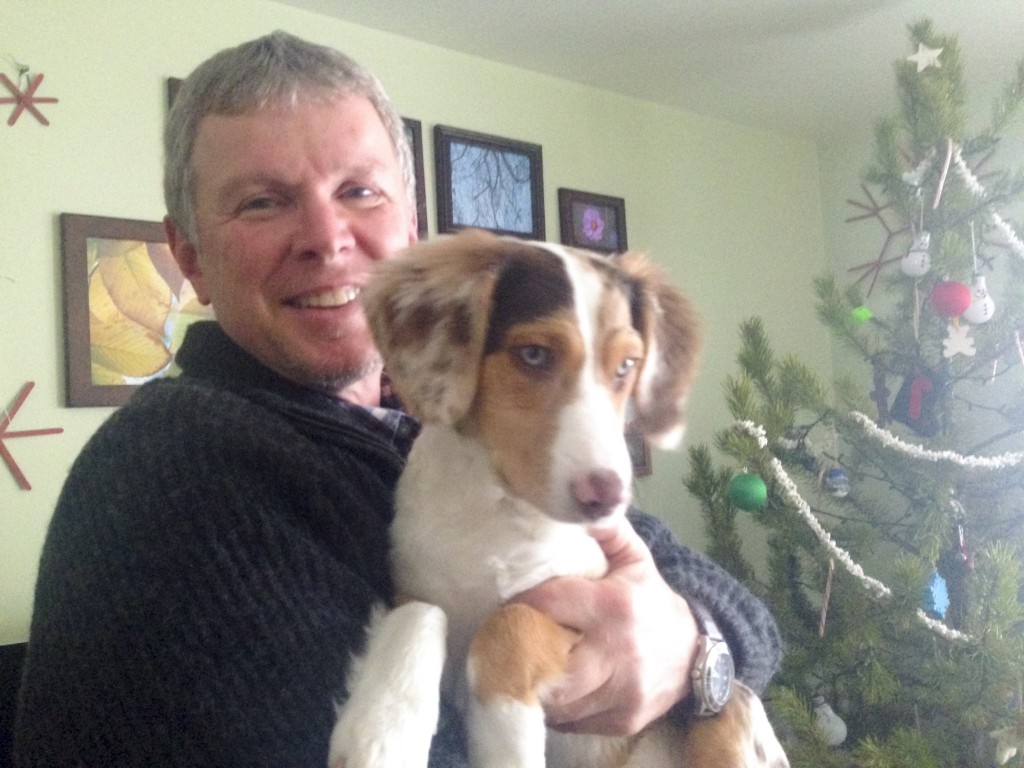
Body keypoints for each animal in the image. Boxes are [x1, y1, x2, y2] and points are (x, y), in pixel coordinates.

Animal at [331, 230, 786, 768]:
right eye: (533, 355)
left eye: (627, 365)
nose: (608, 496)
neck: (499, 513)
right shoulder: (414, 584)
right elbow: (421, 613)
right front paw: (381, 730)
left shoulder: (582, 606)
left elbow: (511, 621)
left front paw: (504, 737)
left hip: (732, 707)